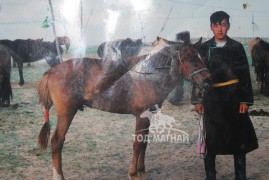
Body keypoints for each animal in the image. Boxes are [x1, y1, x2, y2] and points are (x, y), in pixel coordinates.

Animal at [37, 41, 210, 180]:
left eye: (202, 57)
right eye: (192, 59)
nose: (208, 80)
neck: (149, 74)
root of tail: (51, 71)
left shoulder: (148, 117)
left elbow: (144, 143)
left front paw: (142, 171)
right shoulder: (141, 116)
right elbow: (137, 144)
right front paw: (133, 173)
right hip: (66, 113)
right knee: (57, 142)